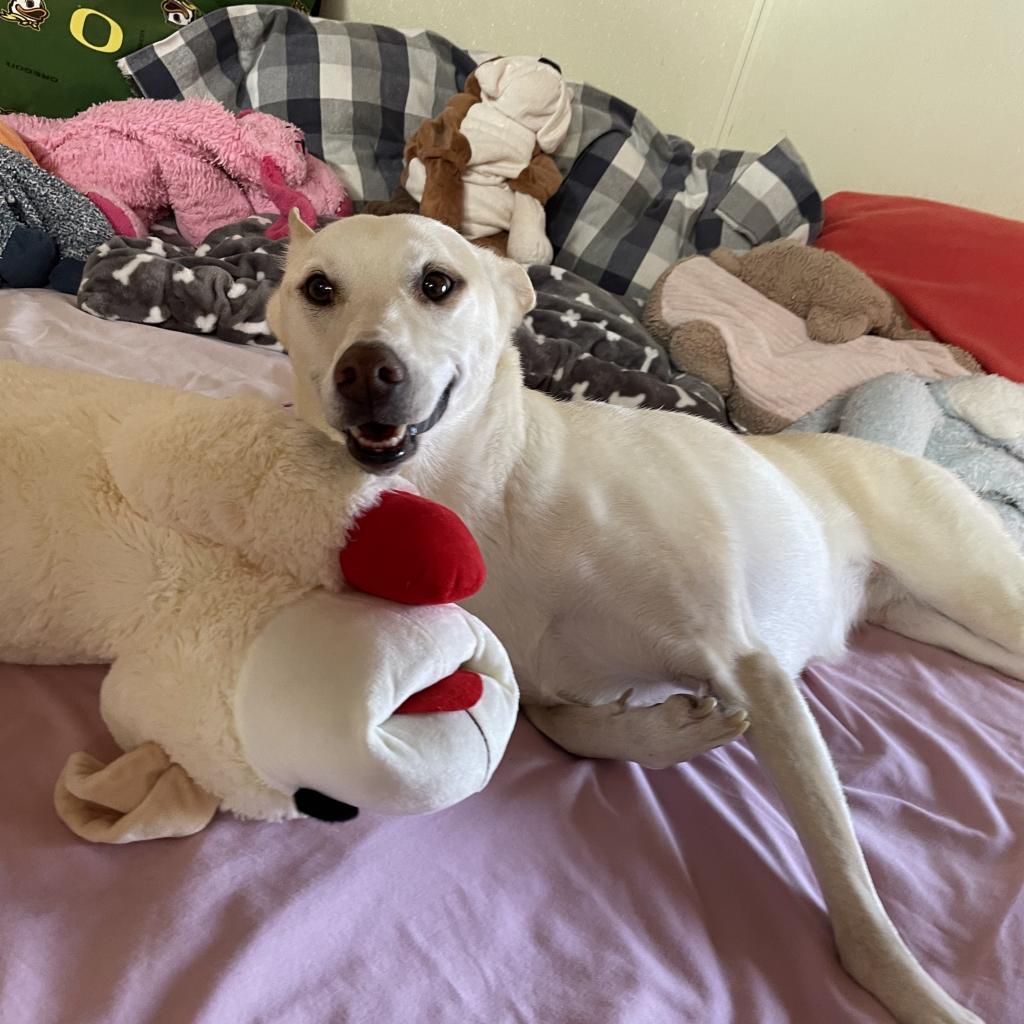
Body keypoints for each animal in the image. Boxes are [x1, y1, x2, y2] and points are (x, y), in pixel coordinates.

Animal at [268, 209, 1019, 1024]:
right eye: (318, 289)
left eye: (438, 283)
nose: (364, 371)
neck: (490, 500)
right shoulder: (544, 682)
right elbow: (566, 725)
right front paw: (668, 730)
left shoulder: (748, 665)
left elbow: (850, 889)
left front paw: (919, 997)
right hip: (942, 624)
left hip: (975, 586)